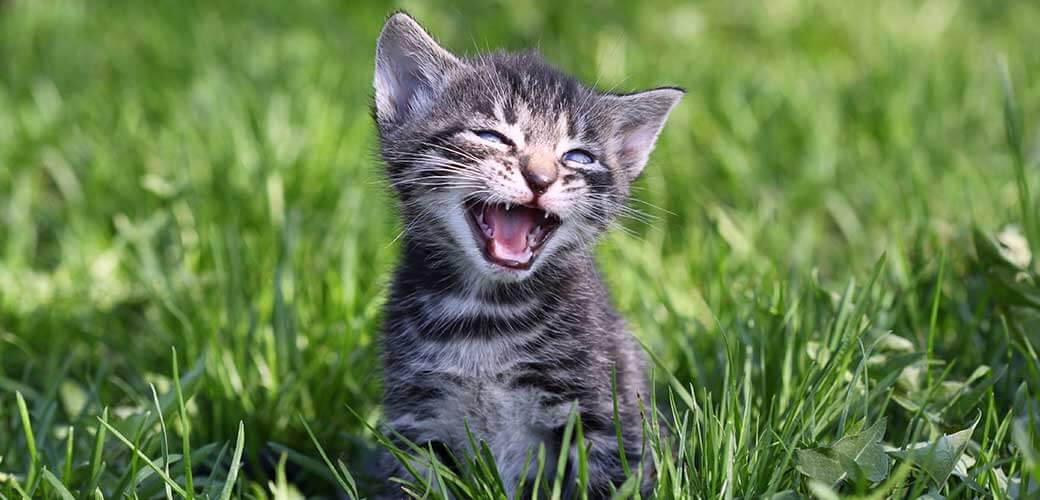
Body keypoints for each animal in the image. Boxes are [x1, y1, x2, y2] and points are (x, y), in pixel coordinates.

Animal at [372, 11, 682, 498]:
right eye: (491, 136)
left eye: (579, 157)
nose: (540, 177)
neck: (484, 315)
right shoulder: (417, 420)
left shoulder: (605, 415)